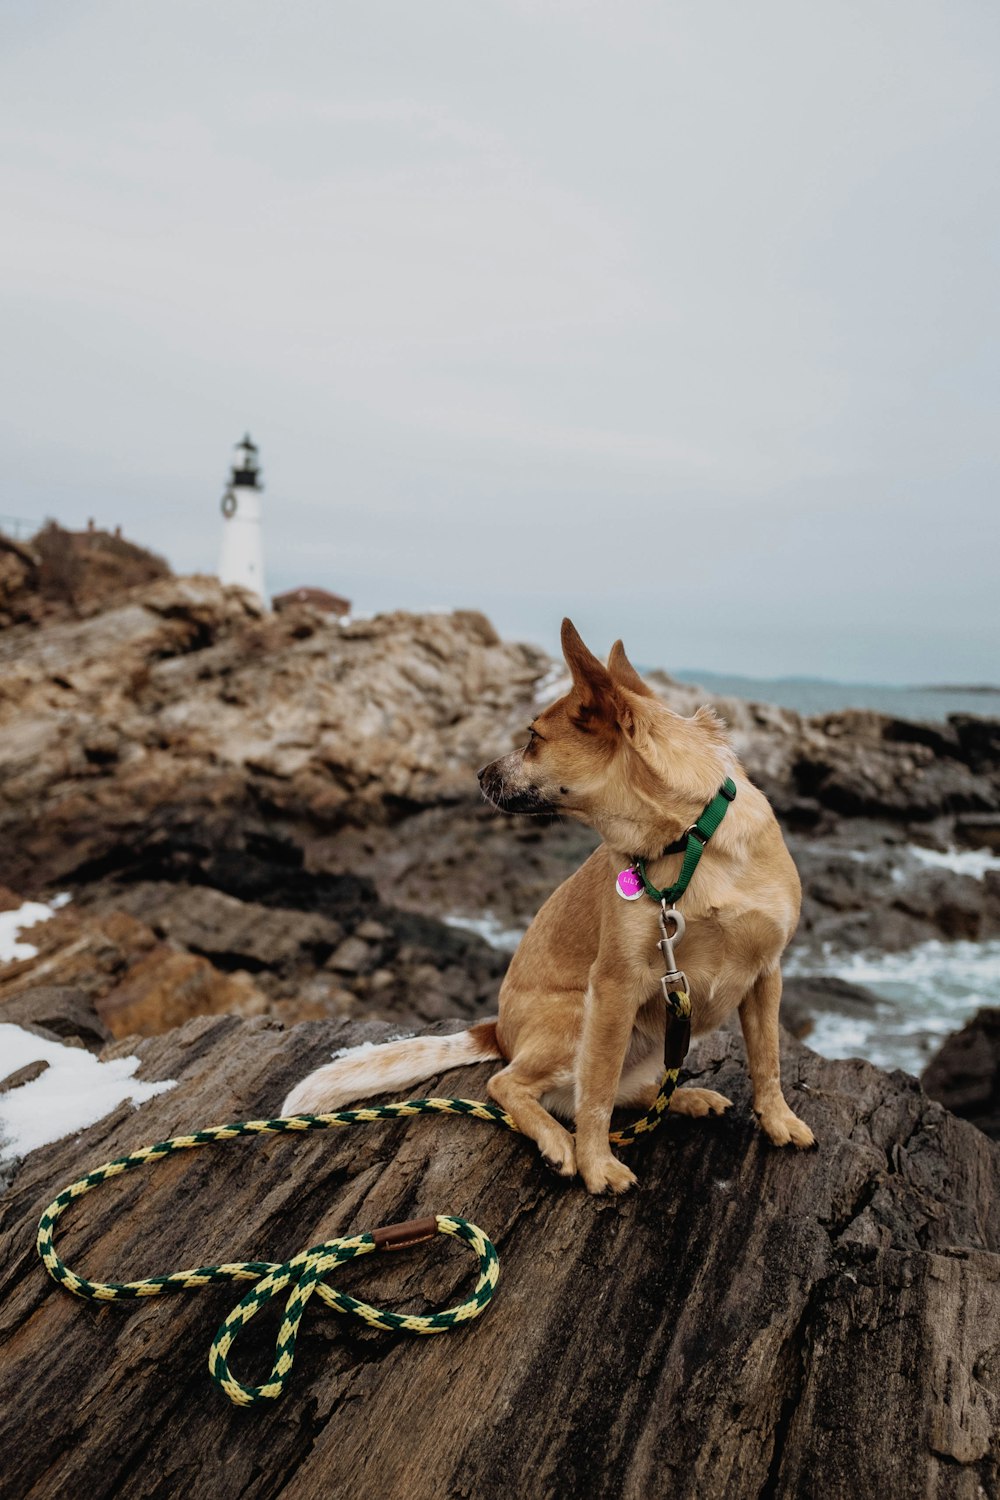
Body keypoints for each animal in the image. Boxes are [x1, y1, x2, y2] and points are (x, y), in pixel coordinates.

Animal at [281, 621, 815, 1194]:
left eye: (534, 738)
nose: (478, 774)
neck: (692, 841)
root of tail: (497, 1029)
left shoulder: (766, 973)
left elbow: (767, 1059)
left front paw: (778, 1120)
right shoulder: (614, 985)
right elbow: (595, 1094)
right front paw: (597, 1164)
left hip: (652, 1033)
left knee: (625, 1090)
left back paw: (687, 1098)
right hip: (576, 1018)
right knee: (513, 1084)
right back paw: (560, 1142)